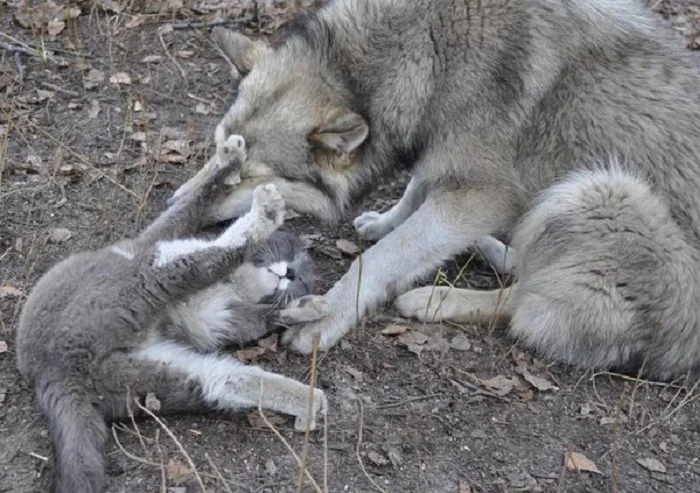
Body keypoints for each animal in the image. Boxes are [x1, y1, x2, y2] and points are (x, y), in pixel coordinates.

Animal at [16, 135, 328, 492]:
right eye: (288, 251)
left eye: (301, 278)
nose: (290, 273)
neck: (228, 289)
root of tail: (53, 370)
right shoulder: (160, 238)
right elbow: (191, 205)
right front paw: (230, 158)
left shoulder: (215, 310)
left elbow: (257, 307)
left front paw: (304, 308)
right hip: (149, 302)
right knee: (225, 368)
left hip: (150, 330)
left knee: (226, 372)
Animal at [172, 0, 700, 380]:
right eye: (219, 151)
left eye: (248, 176)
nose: (172, 203)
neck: (426, 53)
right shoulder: (438, 158)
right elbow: (413, 196)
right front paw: (383, 221)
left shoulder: (479, 195)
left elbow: (381, 259)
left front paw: (326, 317)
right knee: (523, 270)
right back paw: (487, 248)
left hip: (597, 189)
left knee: (523, 307)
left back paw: (433, 300)